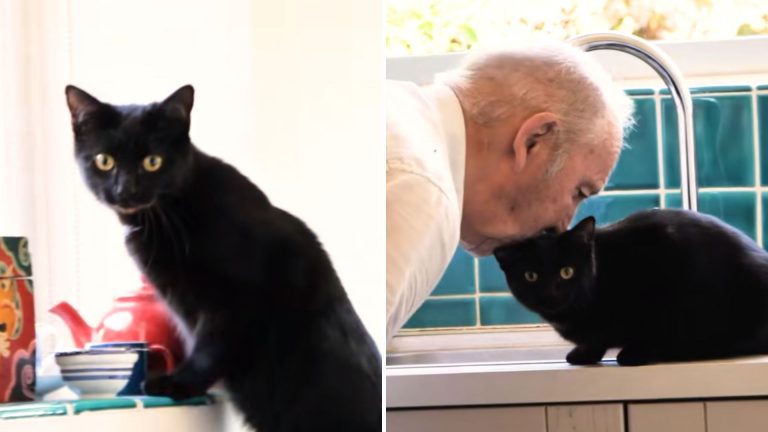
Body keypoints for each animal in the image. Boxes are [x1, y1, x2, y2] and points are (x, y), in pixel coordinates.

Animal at [64, 85, 382, 432]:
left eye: (152, 162)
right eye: (104, 161)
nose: (125, 190)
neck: (173, 214)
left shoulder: (237, 298)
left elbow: (210, 347)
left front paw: (177, 383)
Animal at [496, 208, 768, 366]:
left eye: (567, 272)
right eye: (531, 276)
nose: (550, 294)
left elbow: (651, 329)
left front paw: (635, 353)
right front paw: (586, 352)